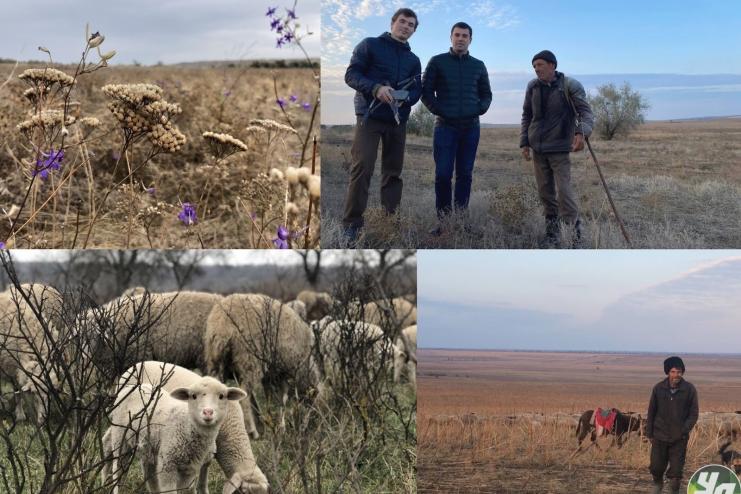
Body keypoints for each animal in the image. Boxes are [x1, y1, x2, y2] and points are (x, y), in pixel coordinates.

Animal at [102, 368, 246, 492]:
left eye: (222, 396)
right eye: (193, 396)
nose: (208, 412)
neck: (186, 425)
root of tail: (130, 388)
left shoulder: (188, 470)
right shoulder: (167, 465)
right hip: (120, 437)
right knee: (118, 468)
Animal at [202, 292, 320, 438]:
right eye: (311, 399)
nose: (305, 429)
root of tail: (223, 326)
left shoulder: (272, 374)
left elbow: (274, 397)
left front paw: (277, 426)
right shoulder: (287, 371)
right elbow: (283, 398)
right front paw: (281, 427)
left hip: (215, 360)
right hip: (249, 360)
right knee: (244, 398)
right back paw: (252, 432)